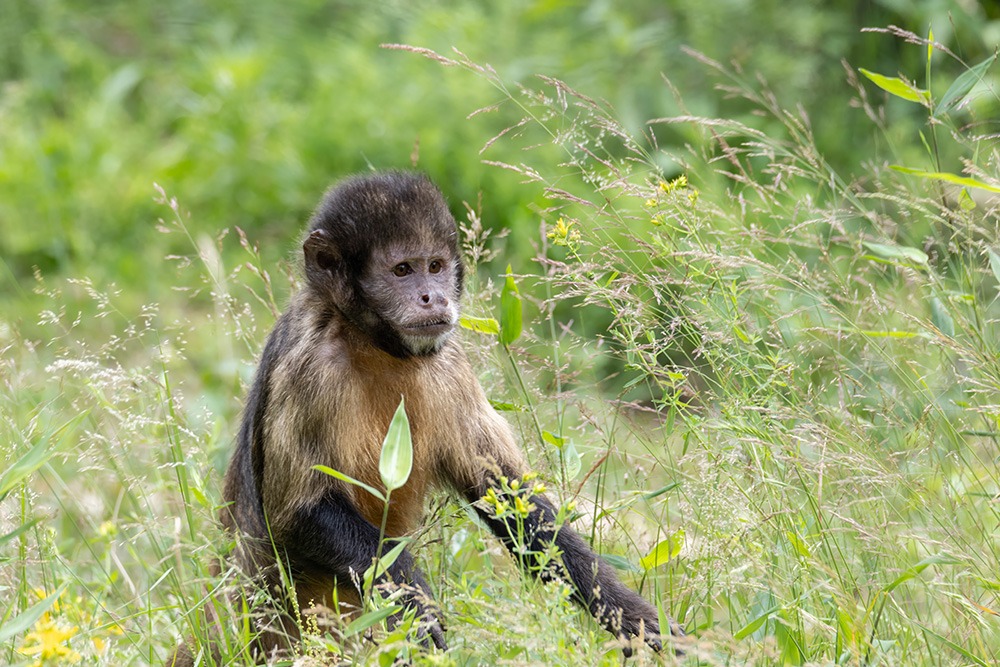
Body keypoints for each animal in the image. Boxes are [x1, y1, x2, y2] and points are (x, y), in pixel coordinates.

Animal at [168, 174, 684, 667]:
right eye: (402, 270)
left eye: (434, 266)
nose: (431, 297)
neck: (371, 343)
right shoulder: (311, 367)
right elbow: (294, 513)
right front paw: (412, 598)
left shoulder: (449, 360)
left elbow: (509, 499)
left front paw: (633, 617)